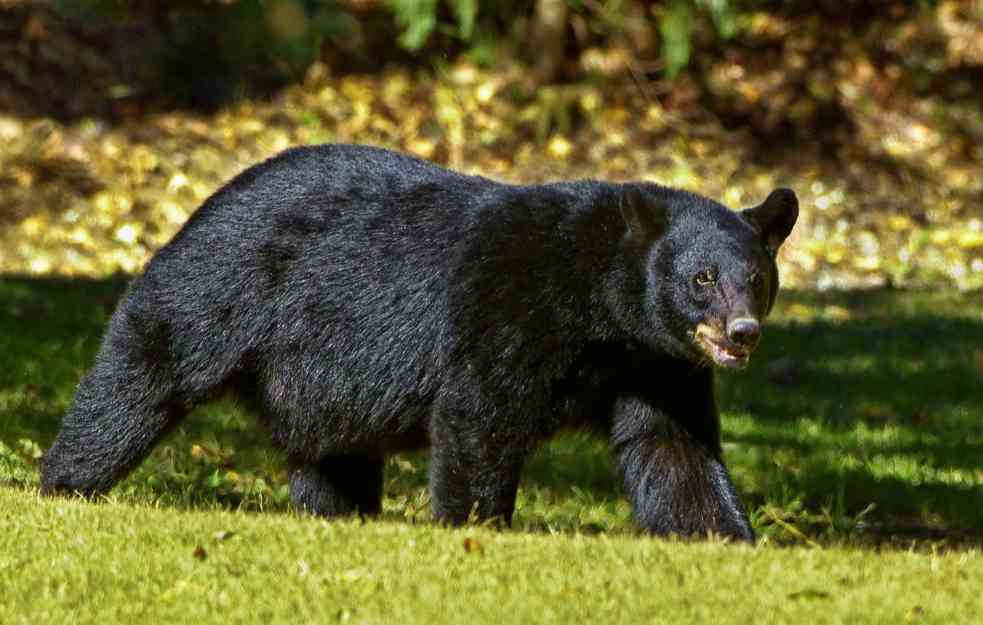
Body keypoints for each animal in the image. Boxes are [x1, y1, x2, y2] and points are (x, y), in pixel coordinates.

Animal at [46, 144, 800, 540]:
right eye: (701, 278)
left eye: (756, 278)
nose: (741, 332)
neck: (601, 308)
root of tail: (206, 199)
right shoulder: (510, 307)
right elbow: (480, 416)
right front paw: (476, 527)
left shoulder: (655, 361)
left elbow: (672, 447)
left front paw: (724, 536)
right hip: (220, 286)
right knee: (144, 371)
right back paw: (64, 481)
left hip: (321, 379)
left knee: (332, 452)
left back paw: (340, 514)